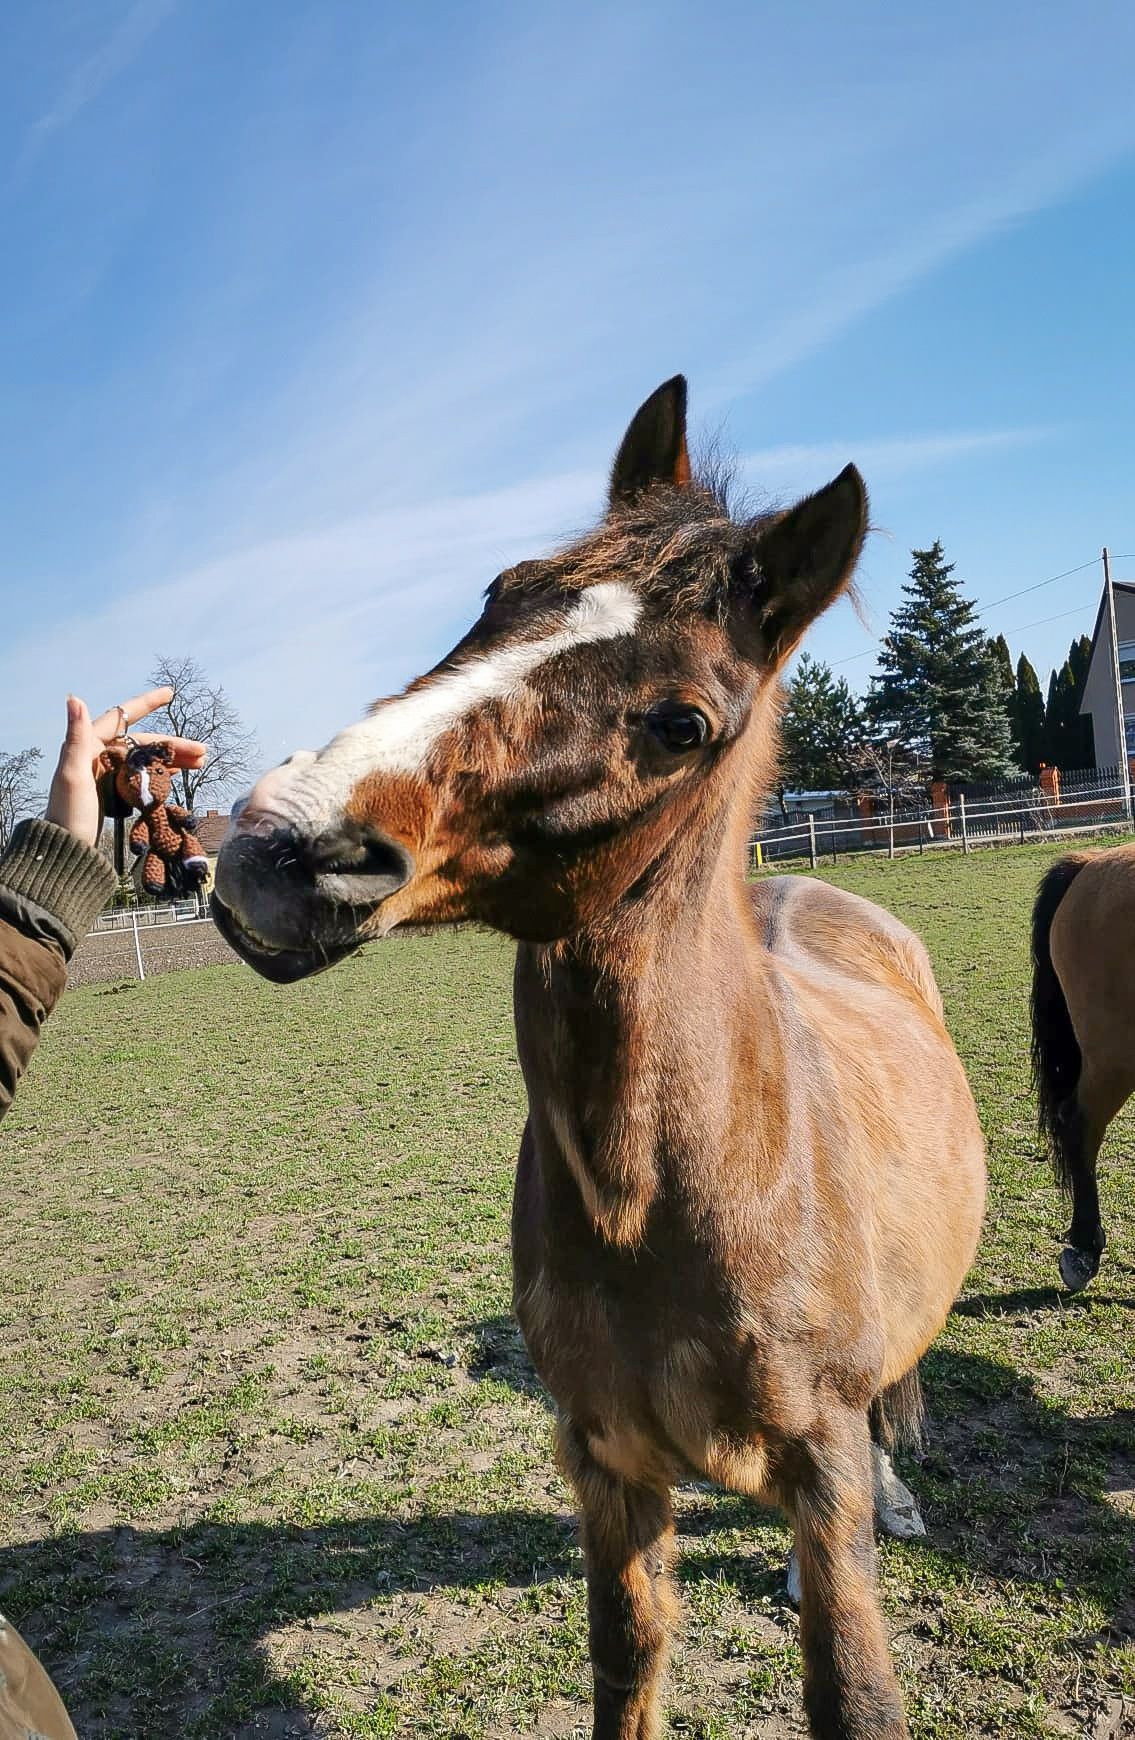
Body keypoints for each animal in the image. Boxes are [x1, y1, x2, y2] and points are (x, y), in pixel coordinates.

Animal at [212, 374, 981, 1733]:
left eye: (684, 723)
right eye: (501, 590)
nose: (282, 845)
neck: (687, 1191)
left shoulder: (818, 1465)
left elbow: (853, 1689)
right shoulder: (608, 1468)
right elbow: (627, 1665)